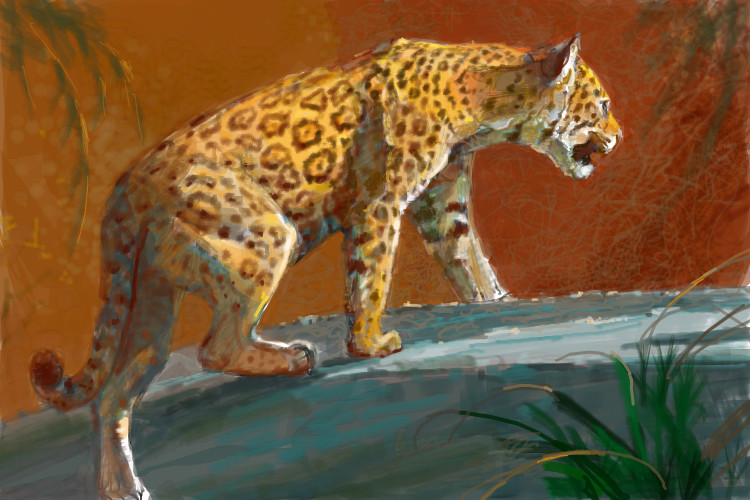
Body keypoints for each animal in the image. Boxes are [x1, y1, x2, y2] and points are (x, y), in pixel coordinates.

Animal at [29, 35, 621, 500]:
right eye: (602, 104)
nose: (618, 136)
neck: (485, 102)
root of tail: (129, 188)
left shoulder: (441, 202)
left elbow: (470, 262)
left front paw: (495, 302)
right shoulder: (380, 203)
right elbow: (372, 277)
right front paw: (370, 344)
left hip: (151, 299)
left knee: (115, 392)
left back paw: (121, 486)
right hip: (268, 235)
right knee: (213, 348)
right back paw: (292, 358)